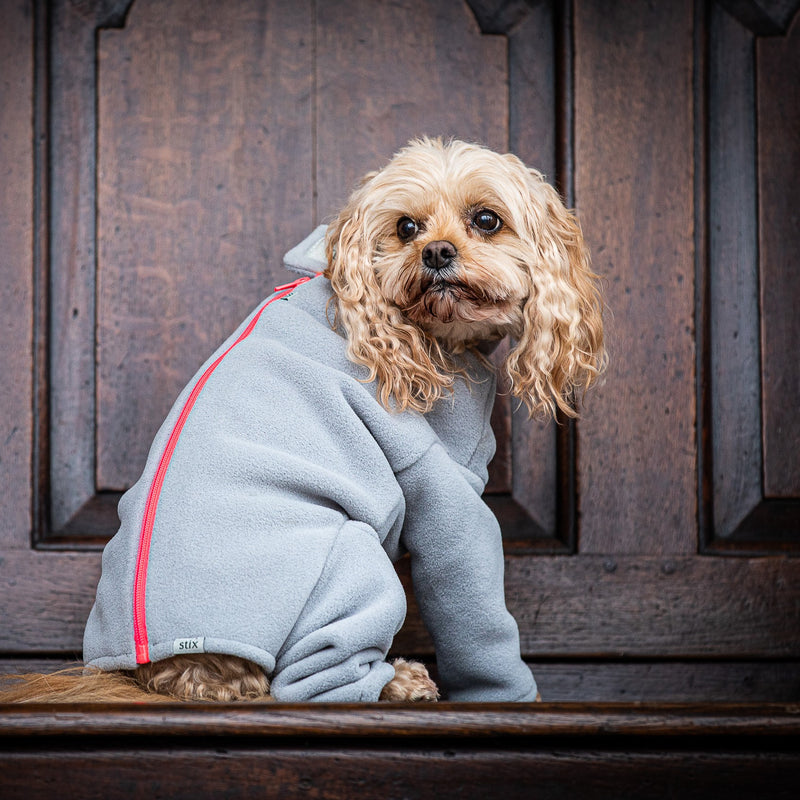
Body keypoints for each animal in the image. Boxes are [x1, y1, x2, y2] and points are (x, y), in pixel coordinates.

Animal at [0, 141, 604, 704]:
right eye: (406, 227)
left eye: (487, 220)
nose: (435, 251)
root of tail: (169, 672)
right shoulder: (443, 485)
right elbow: (474, 601)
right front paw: (512, 696)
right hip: (355, 561)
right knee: (312, 686)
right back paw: (398, 683)